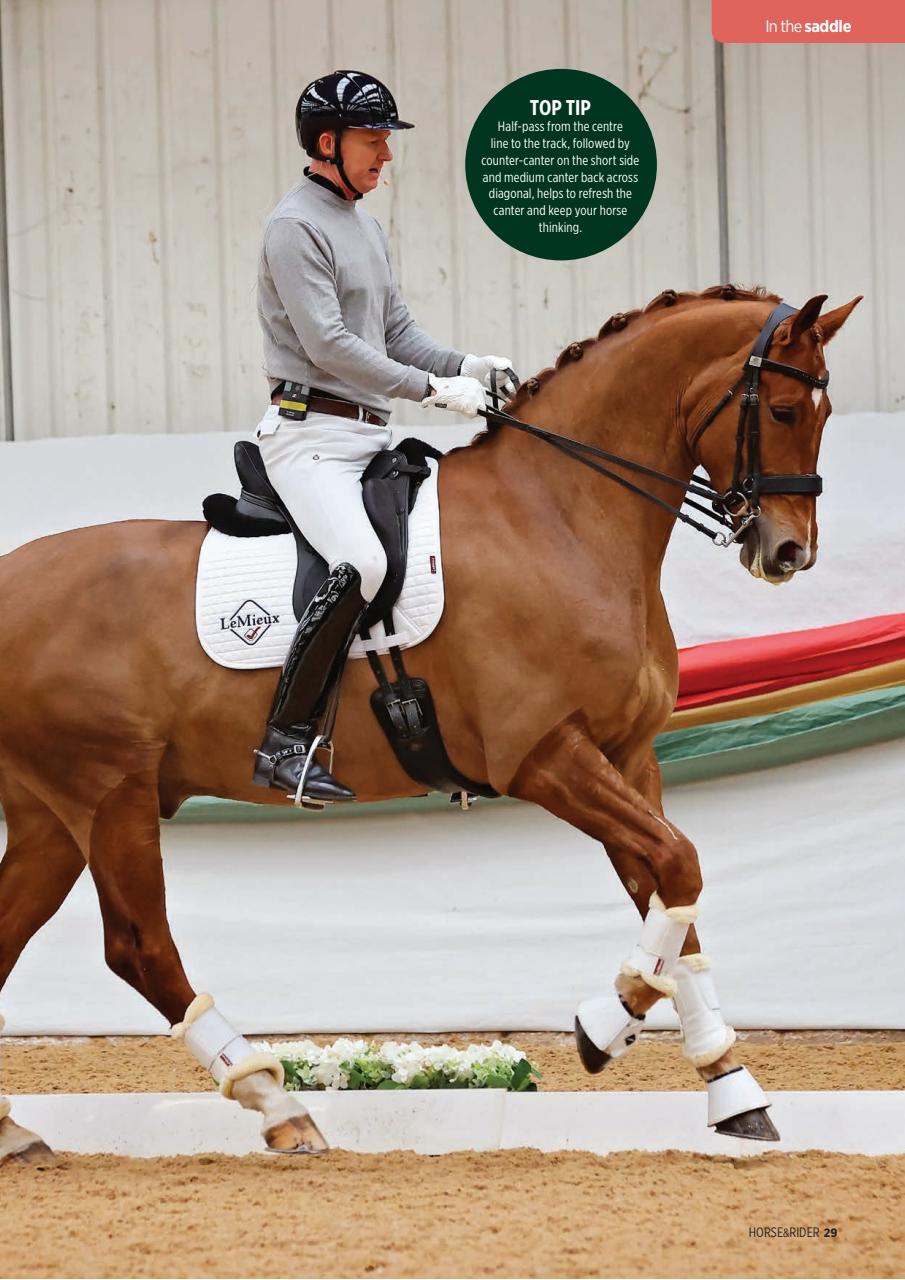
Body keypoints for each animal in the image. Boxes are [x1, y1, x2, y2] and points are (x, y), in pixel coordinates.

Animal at [0, 285, 859, 1163]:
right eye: (783, 408)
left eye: (823, 411)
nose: (787, 552)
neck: (559, 516)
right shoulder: (544, 757)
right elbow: (678, 865)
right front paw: (602, 1024)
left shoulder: (627, 755)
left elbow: (669, 893)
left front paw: (731, 1091)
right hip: (106, 792)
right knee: (139, 947)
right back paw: (281, 1108)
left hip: (49, 815)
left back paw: (14, 1131)